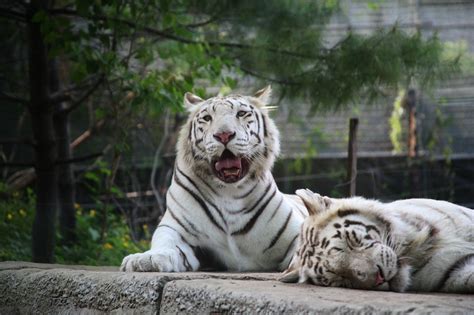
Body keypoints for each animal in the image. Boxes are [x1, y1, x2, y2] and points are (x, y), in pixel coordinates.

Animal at [120, 87, 308, 274]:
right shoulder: (175, 228)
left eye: (241, 113)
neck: (230, 191)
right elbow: (166, 244)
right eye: (207, 118)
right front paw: (144, 259)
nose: (224, 135)